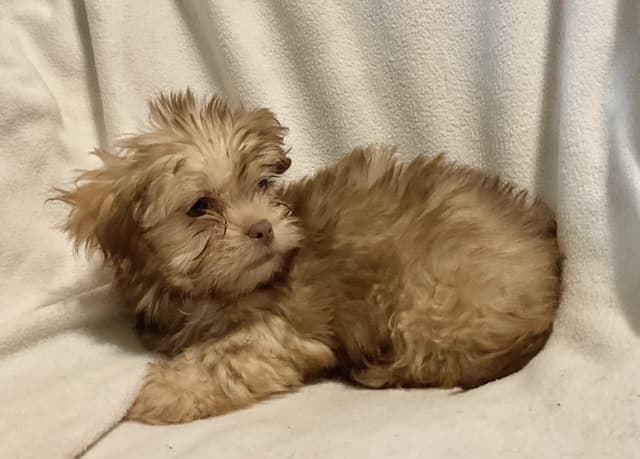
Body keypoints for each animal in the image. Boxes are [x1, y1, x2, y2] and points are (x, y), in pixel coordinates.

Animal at [53, 90, 562, 424]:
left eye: (261, 185)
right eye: (200, 207)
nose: (264, 227)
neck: (207, 293)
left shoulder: (271, 336)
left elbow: (215, 367)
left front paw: (149, 394)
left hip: (428, 298)